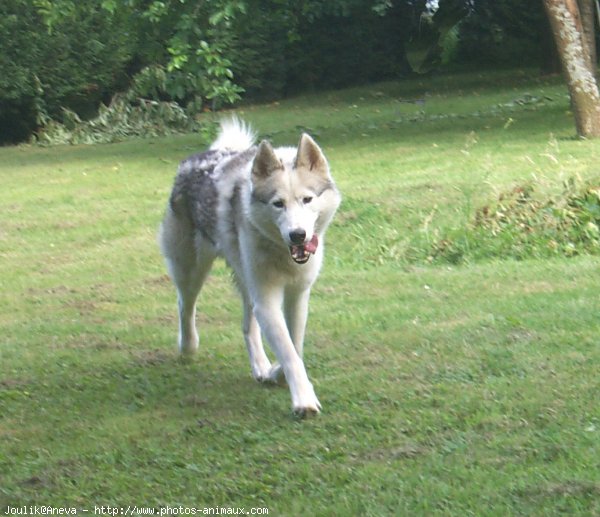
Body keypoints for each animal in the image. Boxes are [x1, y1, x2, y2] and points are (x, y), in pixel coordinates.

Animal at [157, 118, 340, 416]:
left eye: (307, 199)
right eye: (278, 204)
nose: (298, 235)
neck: (281, 252)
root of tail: (201, 156)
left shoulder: (297, 294)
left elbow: (295, 344)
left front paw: (276, 373)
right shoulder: (267, 300)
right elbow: (289, 352)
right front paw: (303, 400)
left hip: (245, 280)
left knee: (247, 325)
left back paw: (261, 367)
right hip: (192, 269)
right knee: (185, 305)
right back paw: (188, 347)